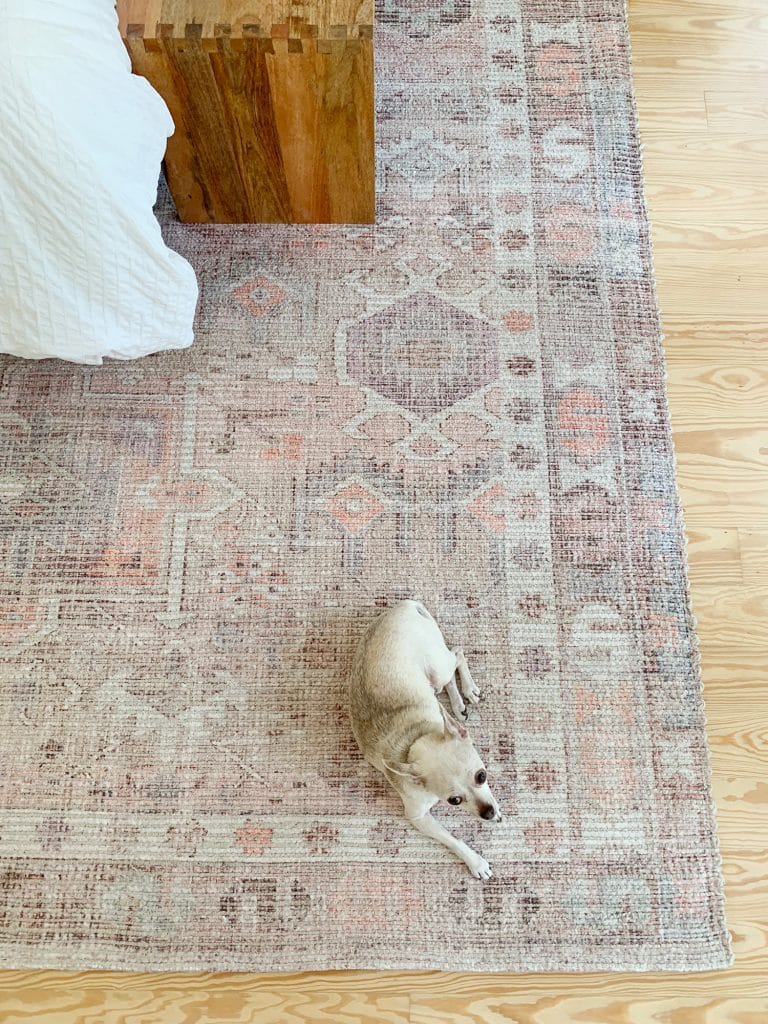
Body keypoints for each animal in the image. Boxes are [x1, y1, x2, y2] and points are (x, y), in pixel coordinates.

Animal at [350, 598, 505, 880]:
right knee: (449, 672)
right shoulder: (419, 817)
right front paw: (476, 863)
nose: (488, 813)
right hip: (434, 671)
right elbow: (453, 840)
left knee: (457, 655)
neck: (416, 739)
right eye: (454, 801)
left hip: (436, 665)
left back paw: (467, 692)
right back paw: (458, 704)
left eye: (482, 776)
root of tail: (404, 606)